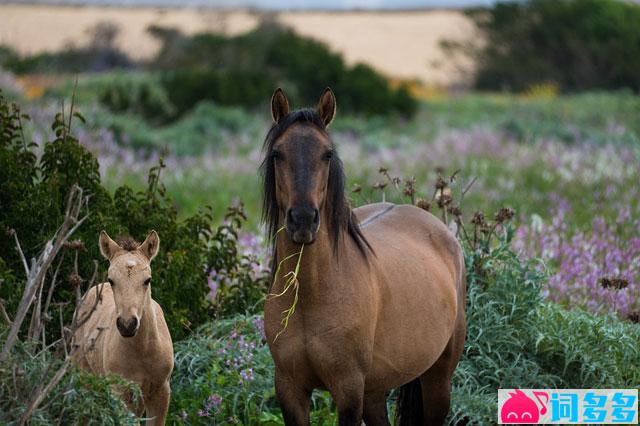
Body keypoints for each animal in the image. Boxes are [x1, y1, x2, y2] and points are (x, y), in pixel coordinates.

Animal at [72, 231, 174, 424]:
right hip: (85, 378)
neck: (143, 351)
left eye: (147, 280)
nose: (127, 325)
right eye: (111, 280)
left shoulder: (161, 391)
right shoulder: (122, 394)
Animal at [260, 88, 464, 424]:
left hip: (438, 378)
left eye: (327, 154)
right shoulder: (289, 389)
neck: (311, 296)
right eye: (278, 154)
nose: (303, 220)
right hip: (375, 390)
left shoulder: (349, 390)